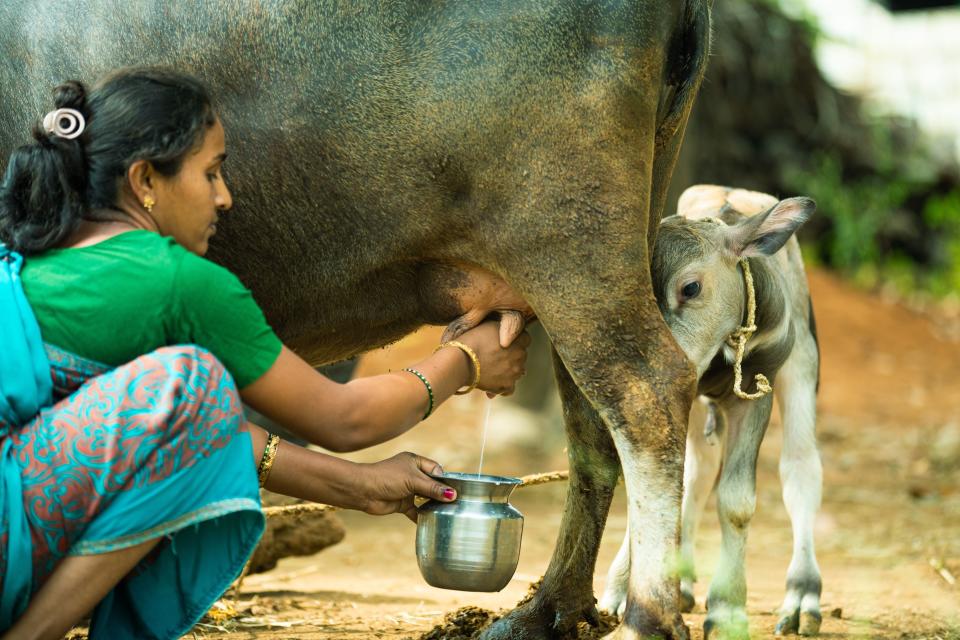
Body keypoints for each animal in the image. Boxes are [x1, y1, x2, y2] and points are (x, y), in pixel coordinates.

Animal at [596, 185, 820, 640]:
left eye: (691, 288)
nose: (653, 361)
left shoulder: (756, 388)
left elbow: (736, 501)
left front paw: (729, 608)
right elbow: (654, 484)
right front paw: (623, 591)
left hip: (803, 360)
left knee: (800, 466)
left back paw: (802, 596)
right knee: (696, 475)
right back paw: (677, 582)